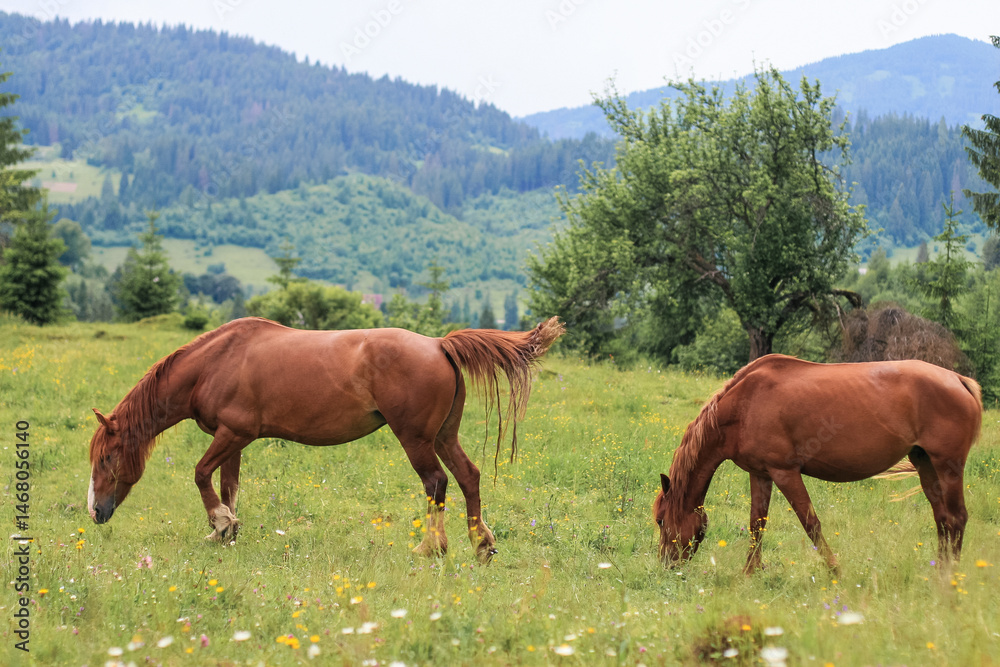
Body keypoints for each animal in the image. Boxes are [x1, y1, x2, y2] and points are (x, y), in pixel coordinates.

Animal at [88, 316, 564, 563]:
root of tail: (439, 345)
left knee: (436, 483)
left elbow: (202, 474)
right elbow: (228, 486)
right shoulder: (236, 440)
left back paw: (431, 547)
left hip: (415, 439)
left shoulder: (232, 434)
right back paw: (481, 544)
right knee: (468, 477)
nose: (96, 512)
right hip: (444, 436)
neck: (216, 363)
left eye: (108, 458)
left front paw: (220, 524)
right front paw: (227, 531)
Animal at [652, 354, 982, 573]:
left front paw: (836, 570)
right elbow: (757, 524)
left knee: (956, 518)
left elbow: (810, 523)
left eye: (660, 520)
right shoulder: (761, 474)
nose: (666, 566)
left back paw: (949, 578)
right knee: (942, 518)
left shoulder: (785, 473)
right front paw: (749, 574)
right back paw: (939, 572)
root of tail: (958, 380)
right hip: (925, 463)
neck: (745, 405)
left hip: (948, 466)